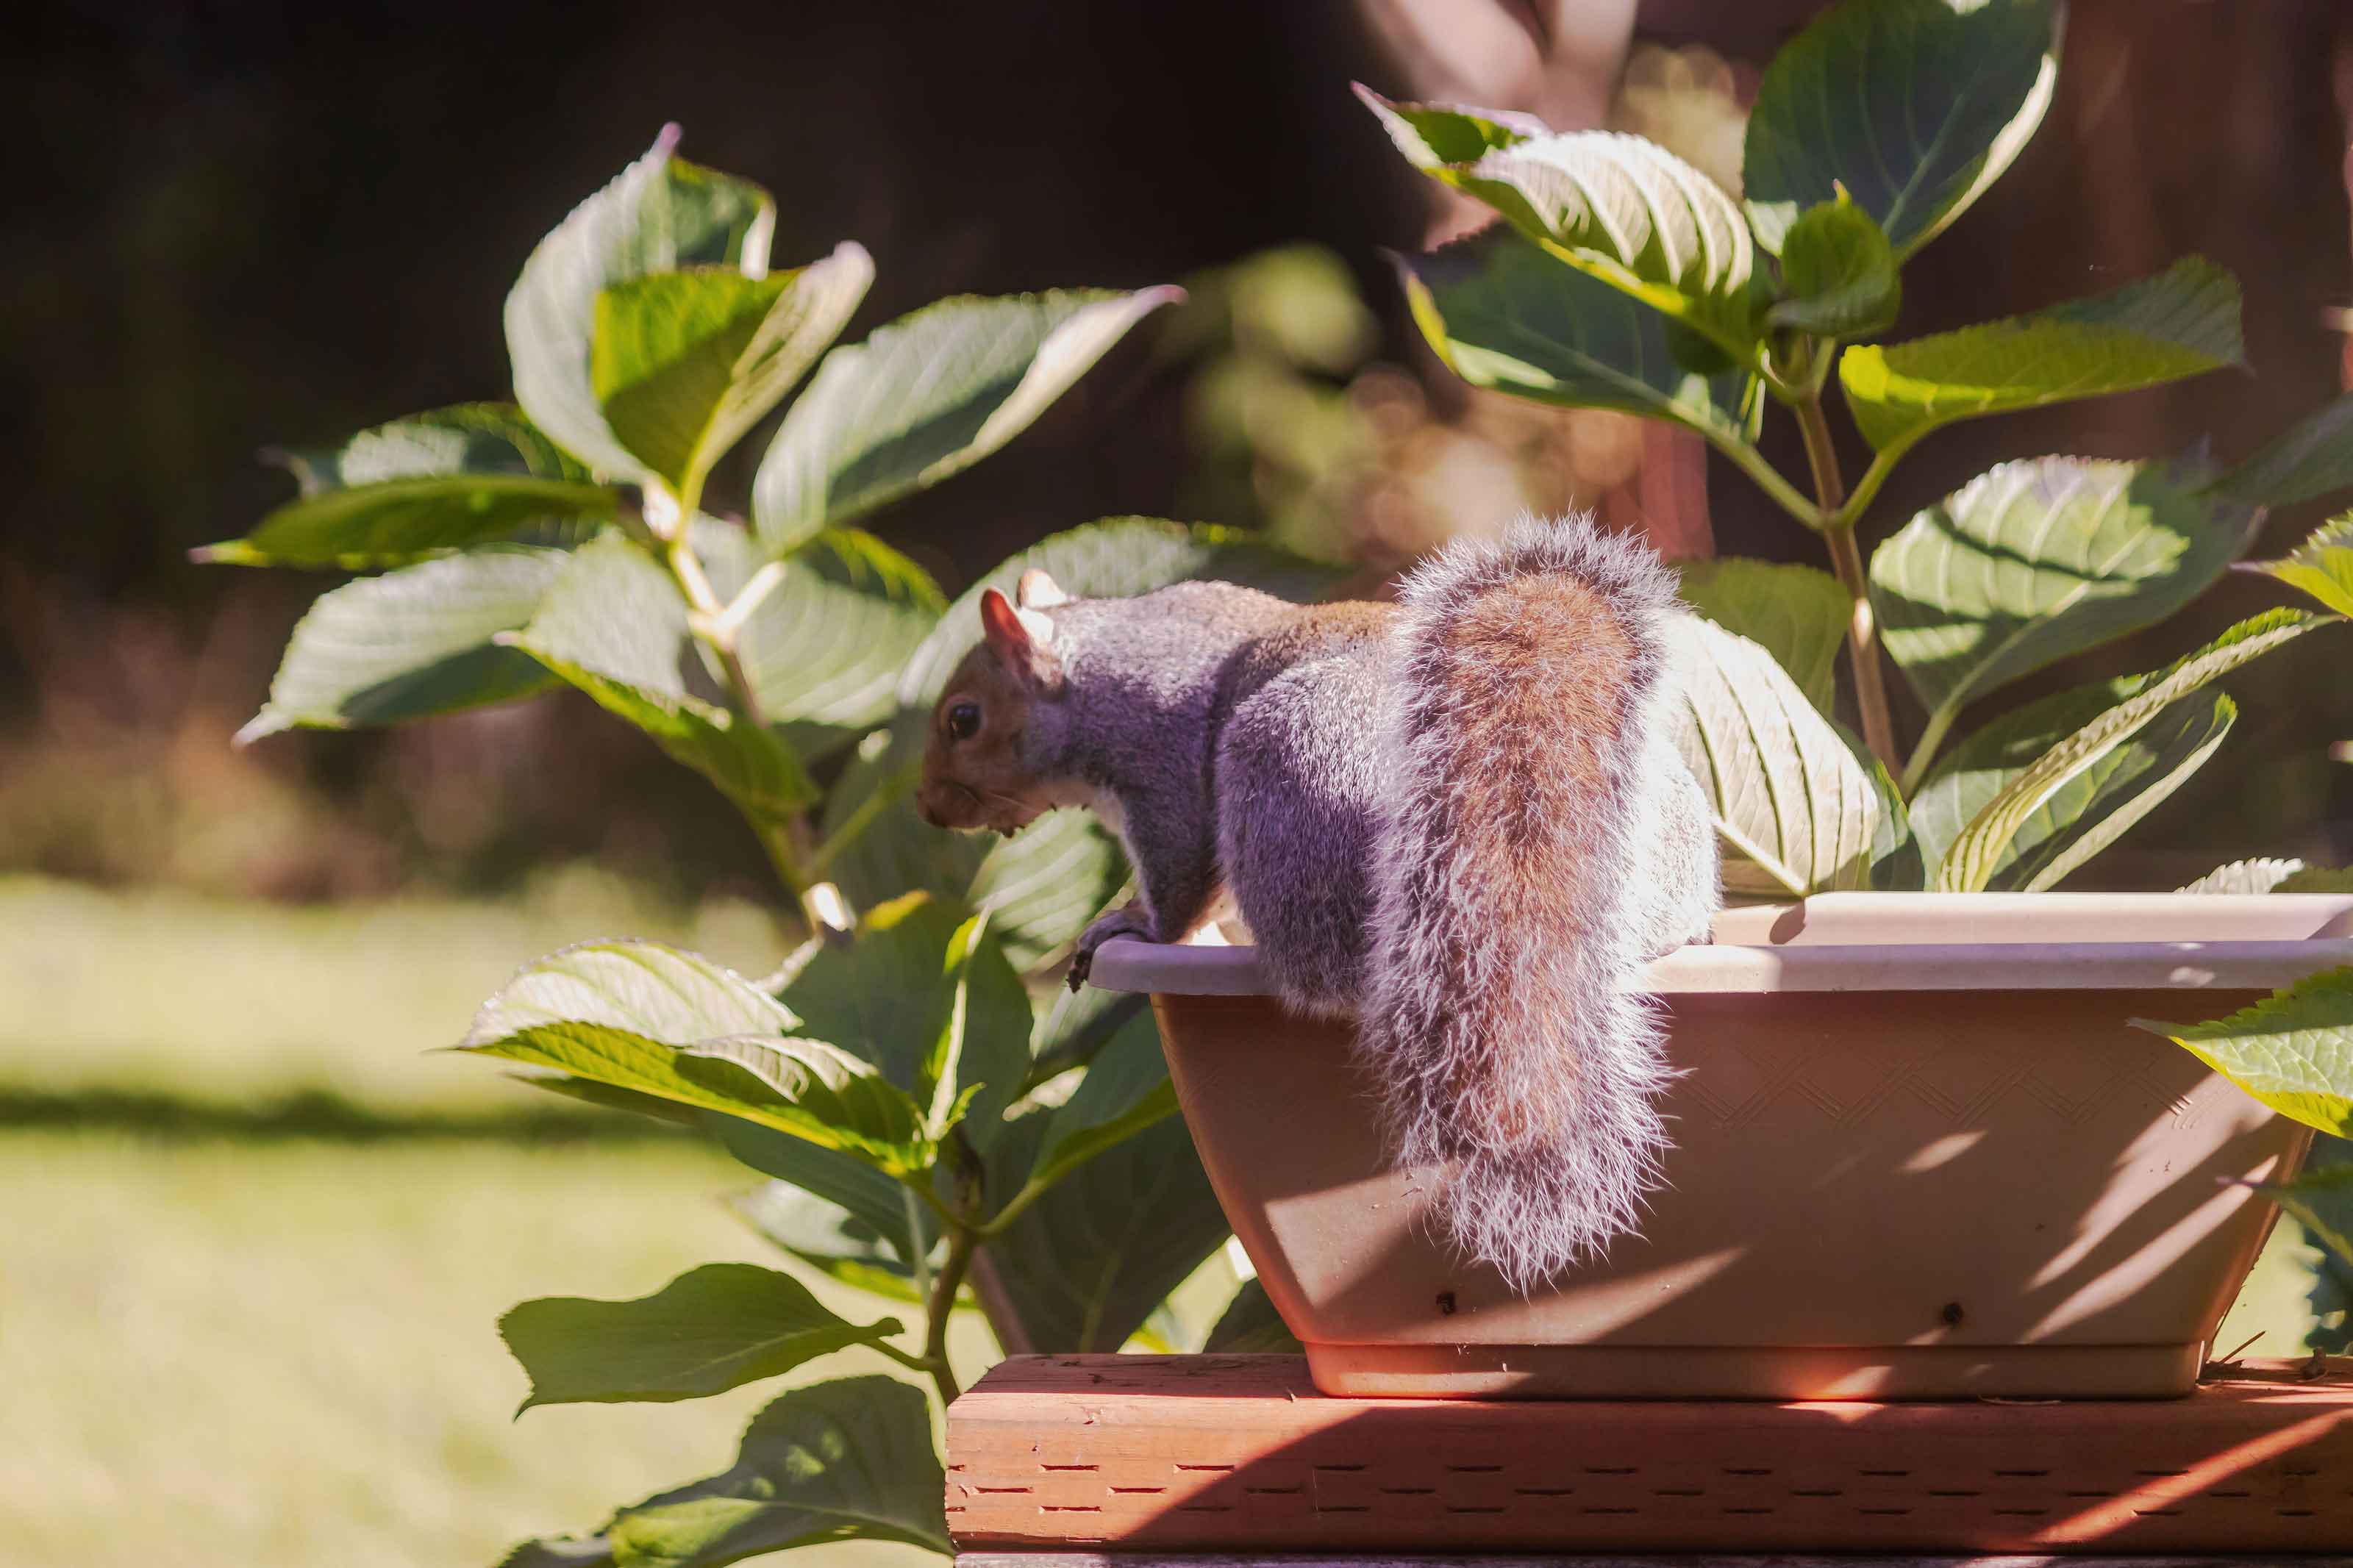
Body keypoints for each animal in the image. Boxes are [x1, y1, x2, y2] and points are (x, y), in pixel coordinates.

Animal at [913, 515, 1713, 1288]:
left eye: (962, 719)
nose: (927, 810)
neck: (1100, 669)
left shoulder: (1162, 772)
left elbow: (1176, 889)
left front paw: (1126, 922)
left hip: (1280, 766)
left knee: (1320, 974)